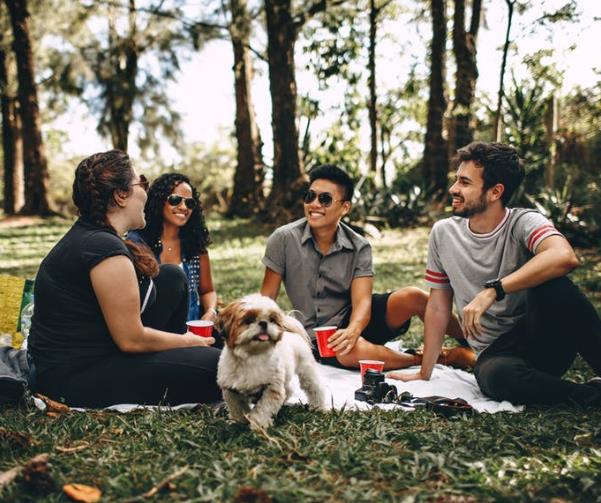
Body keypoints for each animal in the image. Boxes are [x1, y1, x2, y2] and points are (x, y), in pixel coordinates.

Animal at [217, 294, 326, 432]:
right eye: (249, 320)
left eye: (272, 320)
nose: (264, 323)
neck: (251, 356)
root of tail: (292, 332)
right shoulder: (231, 390)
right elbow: (238, 407)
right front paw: (239, 422)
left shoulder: (272, 387)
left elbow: (263, 408)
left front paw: (259, 424)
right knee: (288, 390)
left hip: (306, 370)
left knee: (315, 388)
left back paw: (319, 407)